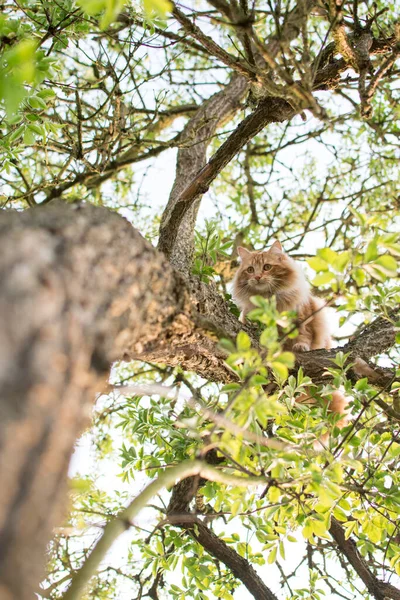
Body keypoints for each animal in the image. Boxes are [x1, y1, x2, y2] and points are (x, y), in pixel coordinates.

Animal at [233, 240, 348, 446]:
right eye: (250, 269)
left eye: (267, 267)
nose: (258, 276)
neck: (268, 301)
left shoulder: (303, 319)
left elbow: (302, 338)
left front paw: (300, 347)